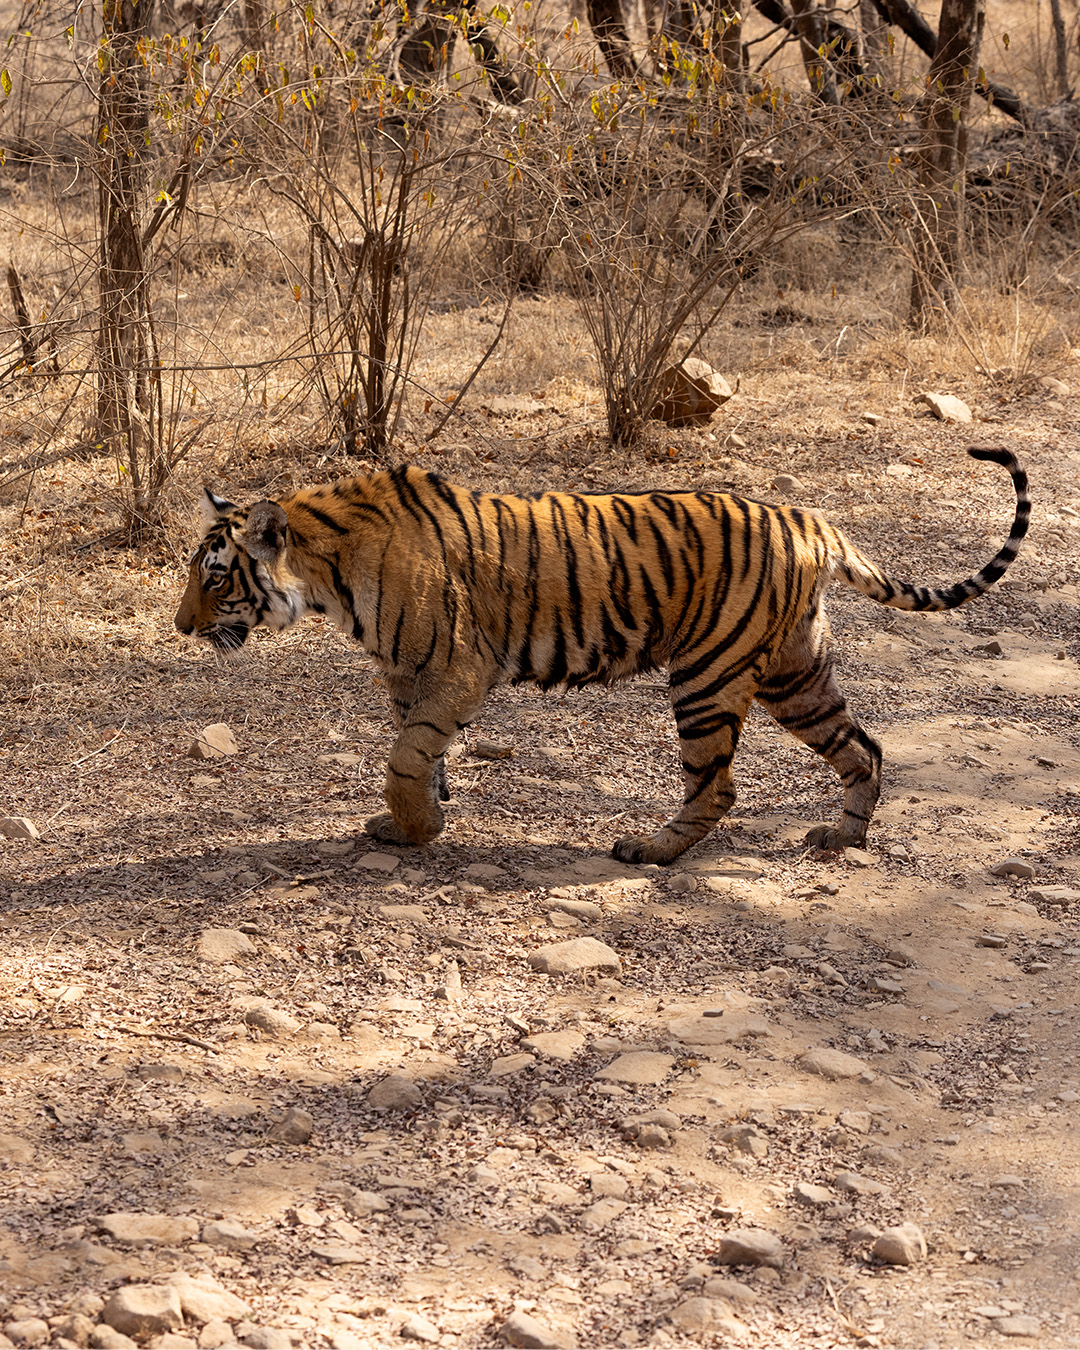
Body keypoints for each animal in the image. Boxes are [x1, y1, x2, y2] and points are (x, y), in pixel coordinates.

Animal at [174, 446, 1029, 865]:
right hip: (796, 674)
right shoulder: (408, 675)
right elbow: (421, 752)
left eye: (215, 577)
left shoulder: (458, 667)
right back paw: (842, 837)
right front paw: (422, 820)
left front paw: (416, 825)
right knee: (865, 747)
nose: (181, 628)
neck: (327, 575)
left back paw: (651, 850)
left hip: (708, 677)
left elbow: (405, 757)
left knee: (718, 787)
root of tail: (810, 519)